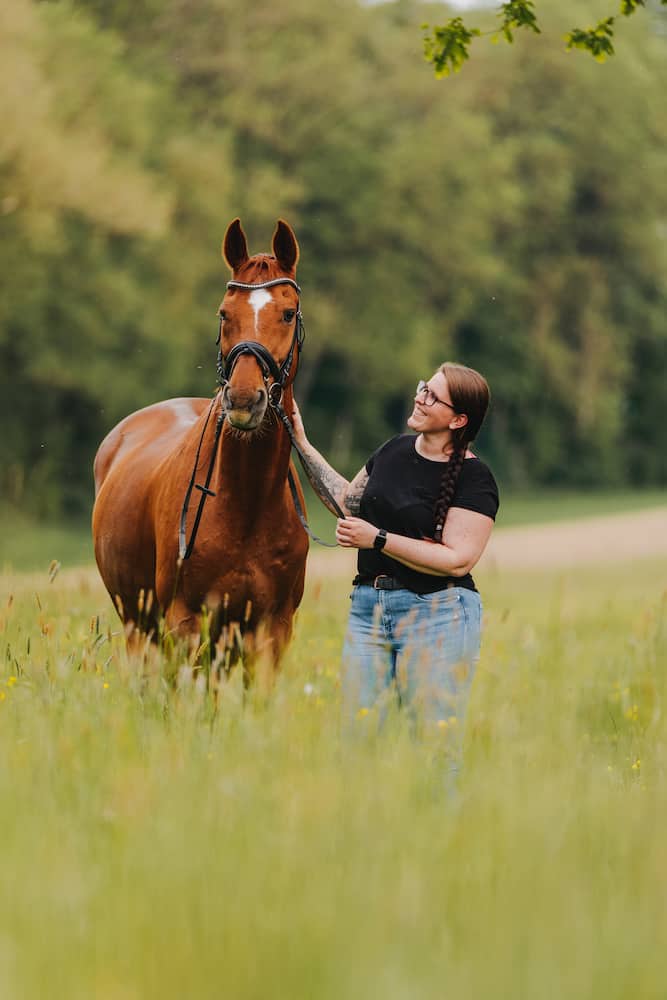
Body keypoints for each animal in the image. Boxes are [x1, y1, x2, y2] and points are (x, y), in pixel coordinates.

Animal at [92, 219, 311, 675]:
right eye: (224, 314)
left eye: (287, 313)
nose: (244, 399)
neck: (246, 504)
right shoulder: (186, 623)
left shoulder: (272, 630)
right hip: (139, 625)